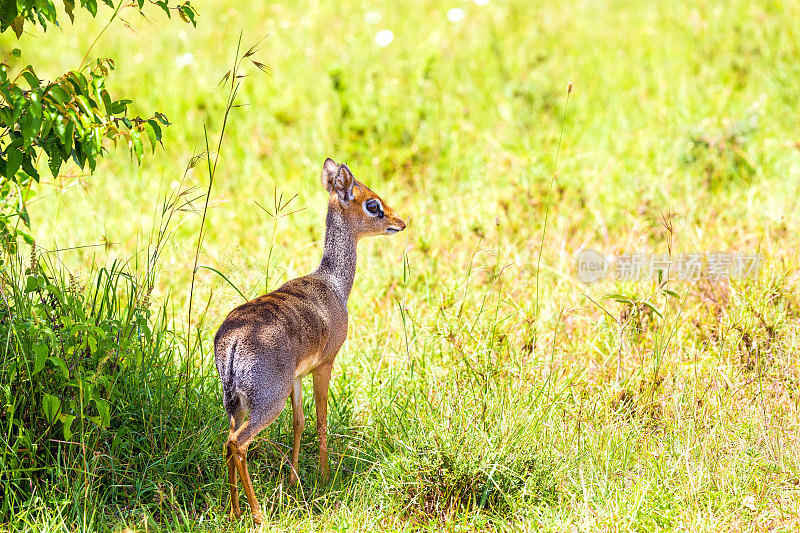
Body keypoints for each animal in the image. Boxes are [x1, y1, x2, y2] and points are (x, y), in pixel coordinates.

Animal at [214, 157, 406, 520]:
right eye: (372, 204)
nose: (400, 222)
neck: (333, 284)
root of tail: (232, 342)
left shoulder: (297, 377)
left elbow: (299, 422)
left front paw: (293, 480)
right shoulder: (325, 364)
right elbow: (321, 420)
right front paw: (324, 476)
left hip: (236, 402)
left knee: (227, 441)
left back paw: (234, 511)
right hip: (266, 401)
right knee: (238, 443)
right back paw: (257, 513)